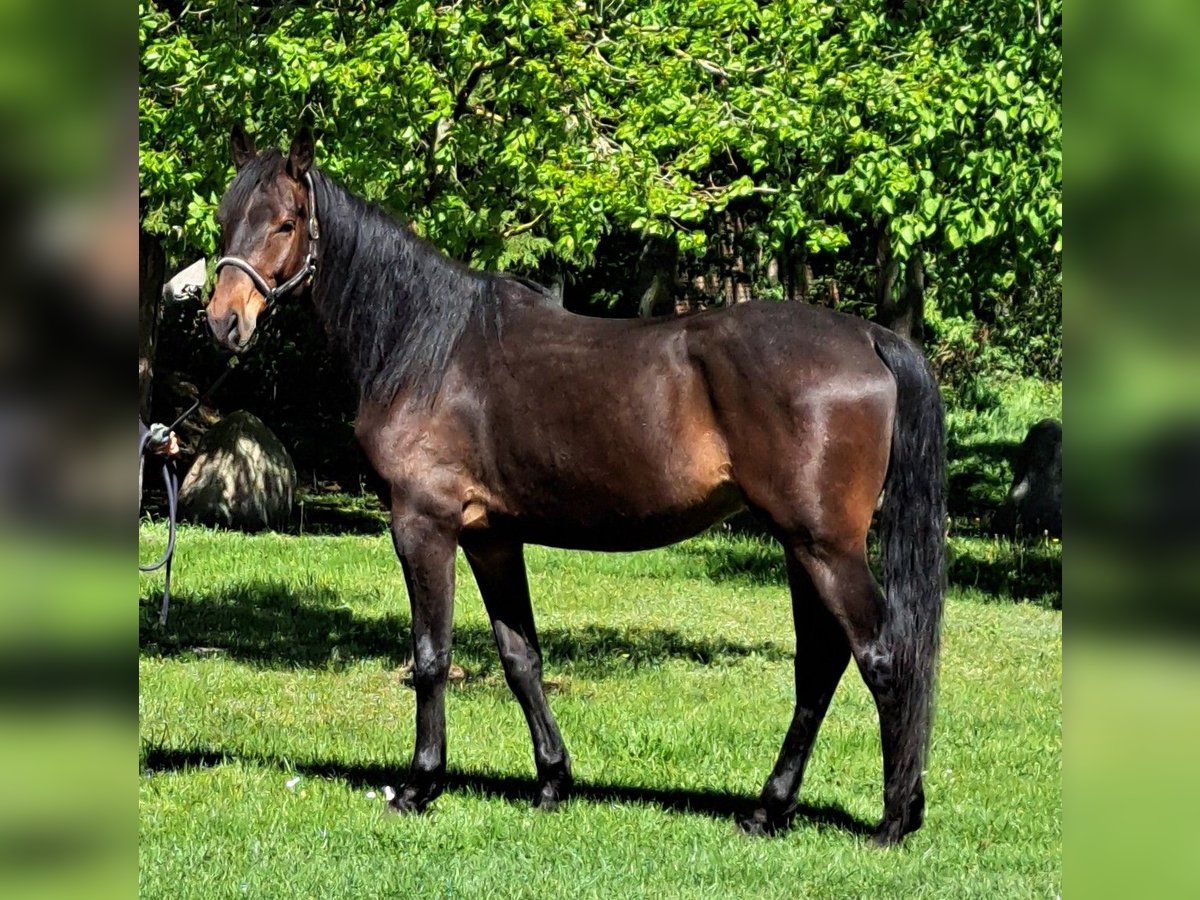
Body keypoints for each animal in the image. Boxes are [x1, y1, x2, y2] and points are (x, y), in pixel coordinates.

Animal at [206, 127, 940, 844]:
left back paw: (892, 820)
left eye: (285, 222)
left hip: (824, 547)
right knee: (819, 666)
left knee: (880, 657)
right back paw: (770, 809)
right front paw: (553, 782)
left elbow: (432, 655)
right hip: (801, 546)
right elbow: (519, 656)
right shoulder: (492, 538)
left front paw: (418, 787)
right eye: (224, 219)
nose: (222, 320)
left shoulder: (424, 524)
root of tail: (868, 338)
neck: (424, 349)